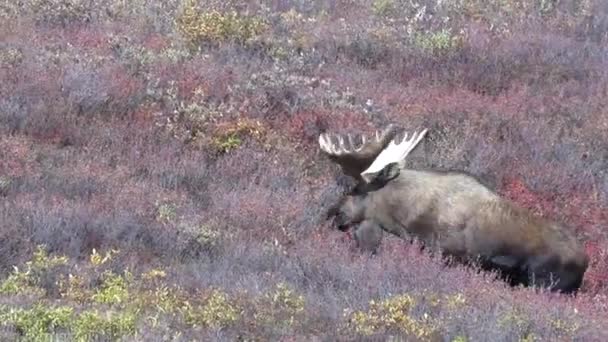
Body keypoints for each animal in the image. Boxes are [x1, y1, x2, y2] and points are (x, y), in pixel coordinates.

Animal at [318, 124, 588, 292]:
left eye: (355, 189)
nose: (331, 214)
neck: (408, 218)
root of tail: (585, 263)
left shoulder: (447, 253)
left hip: (541, 282)